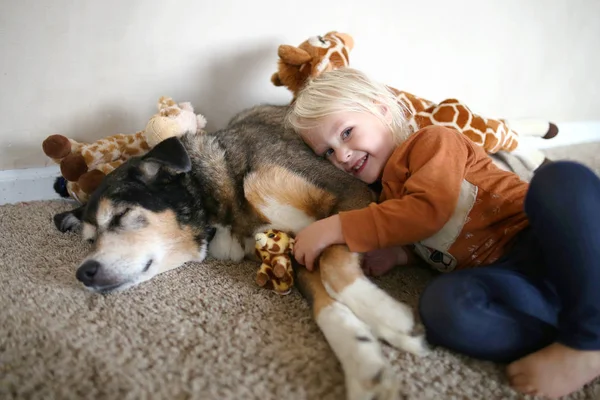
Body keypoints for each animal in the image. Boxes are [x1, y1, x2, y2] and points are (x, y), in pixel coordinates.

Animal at [52, 104, 426, 400]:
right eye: (90, 240)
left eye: (121, 216)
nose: (83, 272)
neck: (220, 190)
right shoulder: (302, 247)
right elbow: (327, 307)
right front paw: (365, 365)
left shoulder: (352, 193)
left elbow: (334, 265)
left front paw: (391, 318)